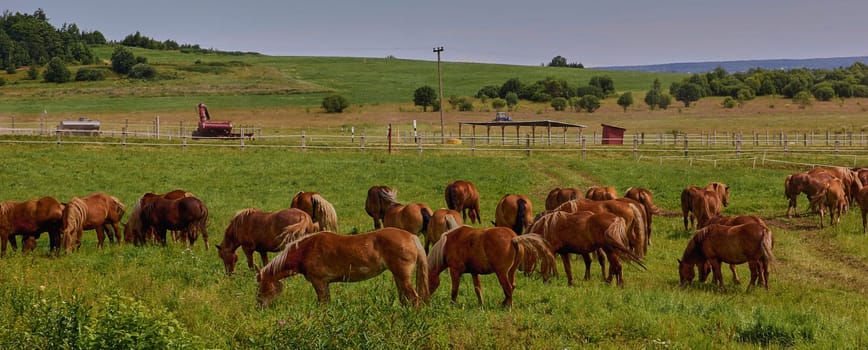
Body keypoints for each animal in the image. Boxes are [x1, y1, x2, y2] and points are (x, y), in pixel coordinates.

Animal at [254, 227, 430, 306]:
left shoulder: (319, 282)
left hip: (402, 276)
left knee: (415, 299)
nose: (260, 306)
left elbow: (323, 304)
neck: (307, 249)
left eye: (260, 287)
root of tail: (411, 236)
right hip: (398, 276)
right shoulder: (324, 284)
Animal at [428, 224, 556, 306]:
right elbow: (478, 289)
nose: (425, 300)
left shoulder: (455, 271)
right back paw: (504, 303)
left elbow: (454, 290)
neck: (447, 245)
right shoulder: (474, 272)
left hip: (501, 273)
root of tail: (513, 238)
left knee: (508, 288)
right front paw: (481, 305)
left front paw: (452, 305)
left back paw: (508, 307)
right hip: (511, 272)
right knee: (512, 286)